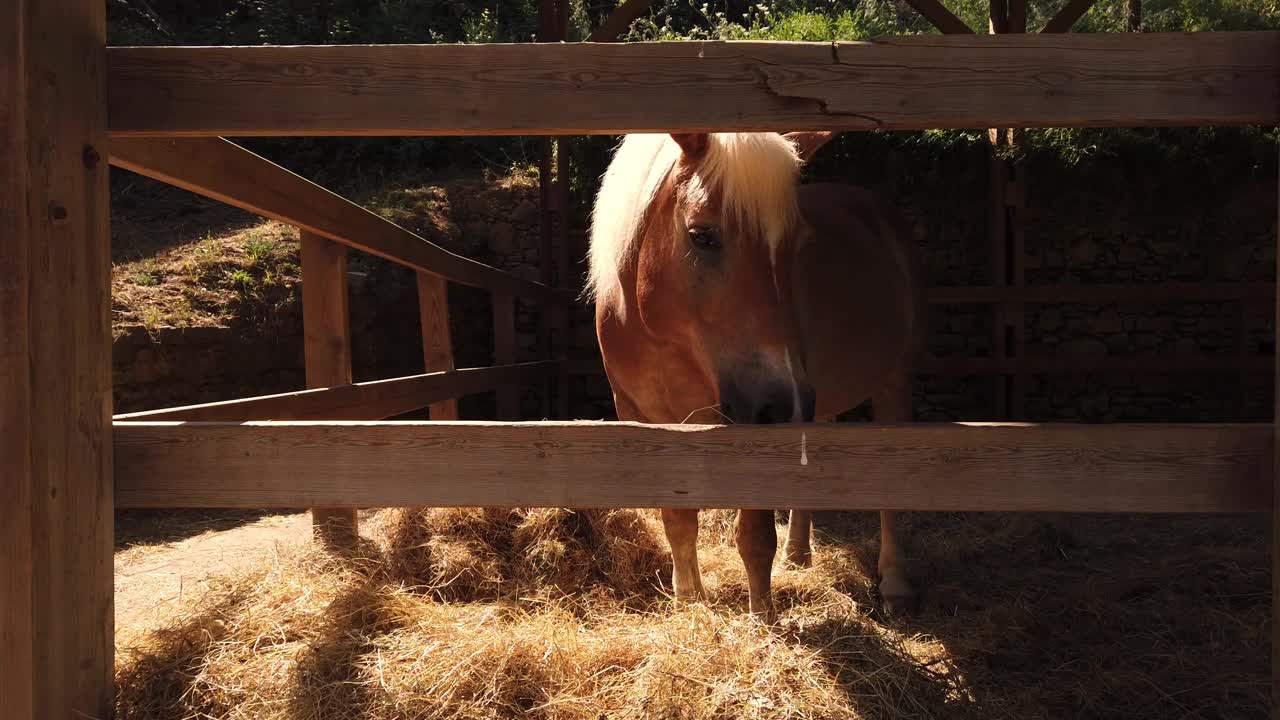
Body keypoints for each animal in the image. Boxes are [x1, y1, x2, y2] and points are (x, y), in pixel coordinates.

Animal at [586, 130, 926, 617]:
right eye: (702, 236)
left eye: (796, 246)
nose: (782, 400)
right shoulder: (644, 418)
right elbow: (678, 521)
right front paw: (690, 602)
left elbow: (755, 537)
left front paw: (762, 616)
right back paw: (798, 554)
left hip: (892, 384)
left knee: (891, 491)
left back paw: (895, 585)